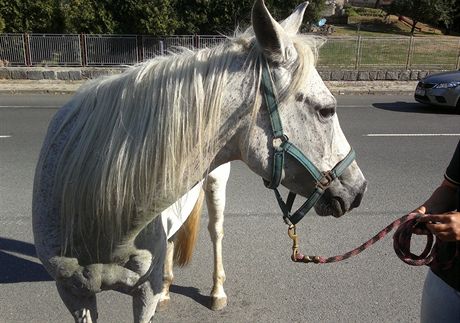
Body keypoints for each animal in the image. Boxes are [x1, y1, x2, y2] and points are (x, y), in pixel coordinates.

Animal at [30, 1, 366, 322]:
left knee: (215, 232)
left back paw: (216, 293)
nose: (359, 189)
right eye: (326, 110)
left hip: (216, 186)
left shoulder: (142, 295)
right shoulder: (73, 294)